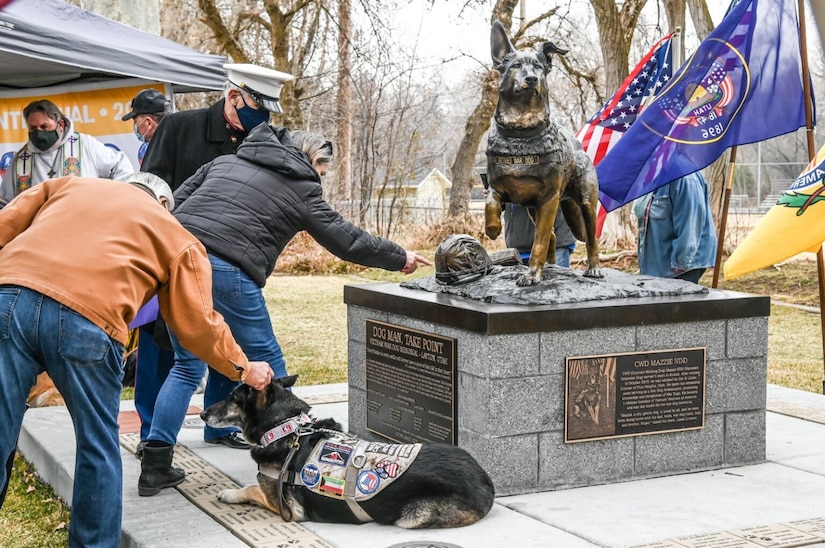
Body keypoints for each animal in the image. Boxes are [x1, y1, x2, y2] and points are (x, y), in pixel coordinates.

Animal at [200, 374, 496, 528]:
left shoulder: (288, 510)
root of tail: (485, 480)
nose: (202, 414)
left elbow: (252, 489)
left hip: (411, 517)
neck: (286, 428)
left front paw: (229, 493)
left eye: (233, 398)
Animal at [486, 21, 600, 286]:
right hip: (531, 209)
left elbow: (538, 242)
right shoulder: (497, 187)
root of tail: (579, 146)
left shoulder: (548, 199)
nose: (531, 78)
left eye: (538, 66)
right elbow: (490, 203)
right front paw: (493, 228)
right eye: (515, 66)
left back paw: (592, 268)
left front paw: (531, 274)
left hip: (585, 202)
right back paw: (550, 267)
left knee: (589, 238)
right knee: (553, 237)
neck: (521, 134)